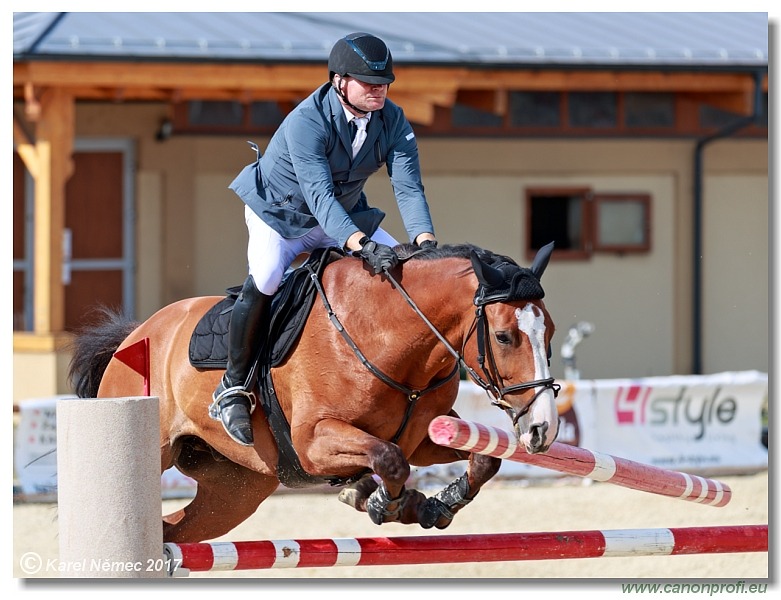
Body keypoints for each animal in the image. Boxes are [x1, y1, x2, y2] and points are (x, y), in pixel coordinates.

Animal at [65, 241, 556, 540]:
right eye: (504, 337)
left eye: (548, 332)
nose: (542, 431)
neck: (388, 335)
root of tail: (135, 336)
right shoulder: (313, 442)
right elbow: (389, 461)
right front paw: (383, 501)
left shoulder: (421, 437)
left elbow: (484, 458)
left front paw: (436, 504)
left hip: (235, 489)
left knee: (176, 531)